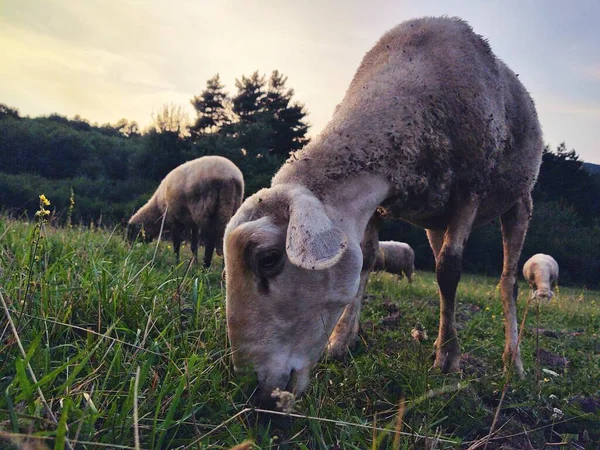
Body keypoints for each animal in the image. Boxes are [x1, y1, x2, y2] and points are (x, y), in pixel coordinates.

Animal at [224, 16, 544, 404]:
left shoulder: (471, 187)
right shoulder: (380, 199)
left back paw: (513, 361)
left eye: (268, 259)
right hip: (435, 220)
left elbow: (450, 269)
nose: (252, 389)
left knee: (506, 281)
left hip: (518, 199)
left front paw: (449, 358)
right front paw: (341, 341)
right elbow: (366, 257)